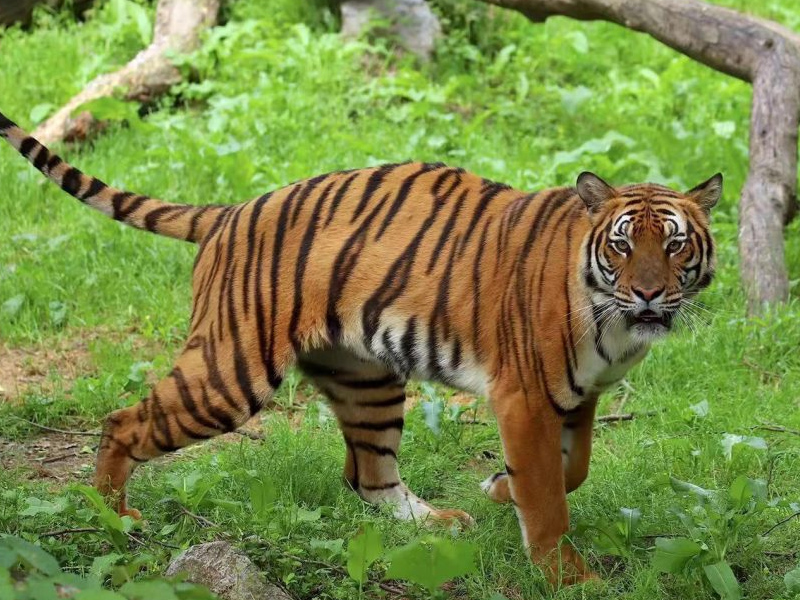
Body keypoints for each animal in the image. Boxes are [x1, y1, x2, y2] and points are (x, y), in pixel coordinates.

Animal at [0, 110, 720, 583]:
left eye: (675, 244)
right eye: (622, 244)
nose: (650, 294)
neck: (615, 324)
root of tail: (230, 211)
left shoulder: (579, 395)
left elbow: (573, 470)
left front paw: (498, 490)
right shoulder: (525, 396)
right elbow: (548, 493)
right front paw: (567, 577)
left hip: (366, 379)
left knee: (366, 476)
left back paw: (435, 523)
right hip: (229, 374)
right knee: (122, 422)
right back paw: (114, 519)